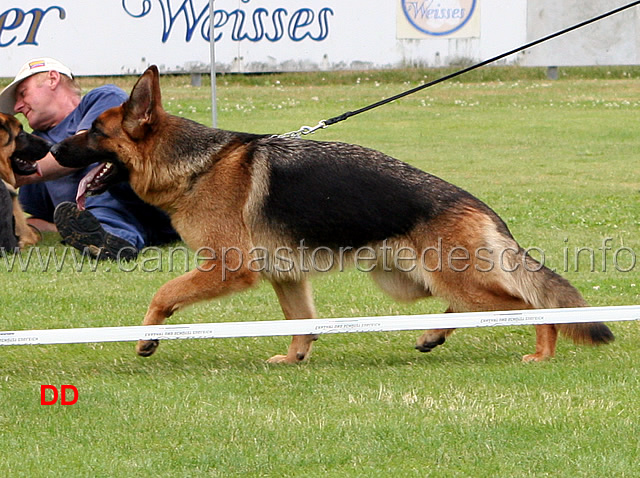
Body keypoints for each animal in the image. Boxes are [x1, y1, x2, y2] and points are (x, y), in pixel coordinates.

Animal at [52, 66, 612, 362]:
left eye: (94, 131)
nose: (50, 150)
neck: (195, 164)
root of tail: (476, 204)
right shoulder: (286, 276)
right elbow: (301, 321)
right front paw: (295, 357)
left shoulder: (227, 269)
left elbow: (162, 293)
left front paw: (148, 337)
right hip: (413, 282)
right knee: (472, 305)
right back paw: (433, 334)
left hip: (443, 277)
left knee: (528, 304)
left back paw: (541, 352)